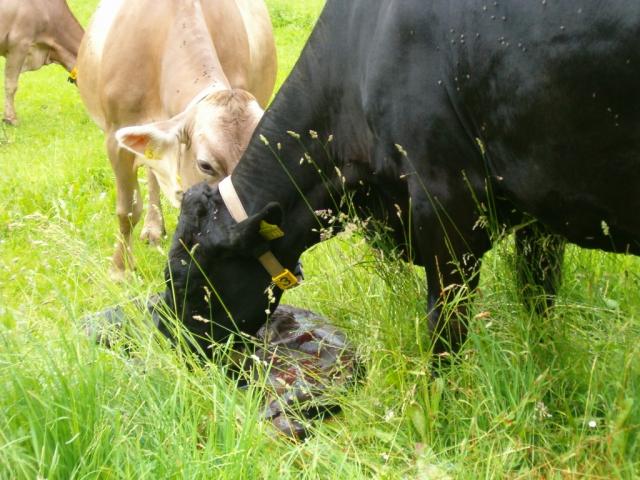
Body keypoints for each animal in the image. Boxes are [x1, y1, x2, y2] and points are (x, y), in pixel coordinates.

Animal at [160, 0, 640, 356]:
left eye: (184, 278)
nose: (165, 333)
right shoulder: (537, 209)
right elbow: (538, 295)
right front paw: (543, 361)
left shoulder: (444, 201)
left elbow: (445, 326)